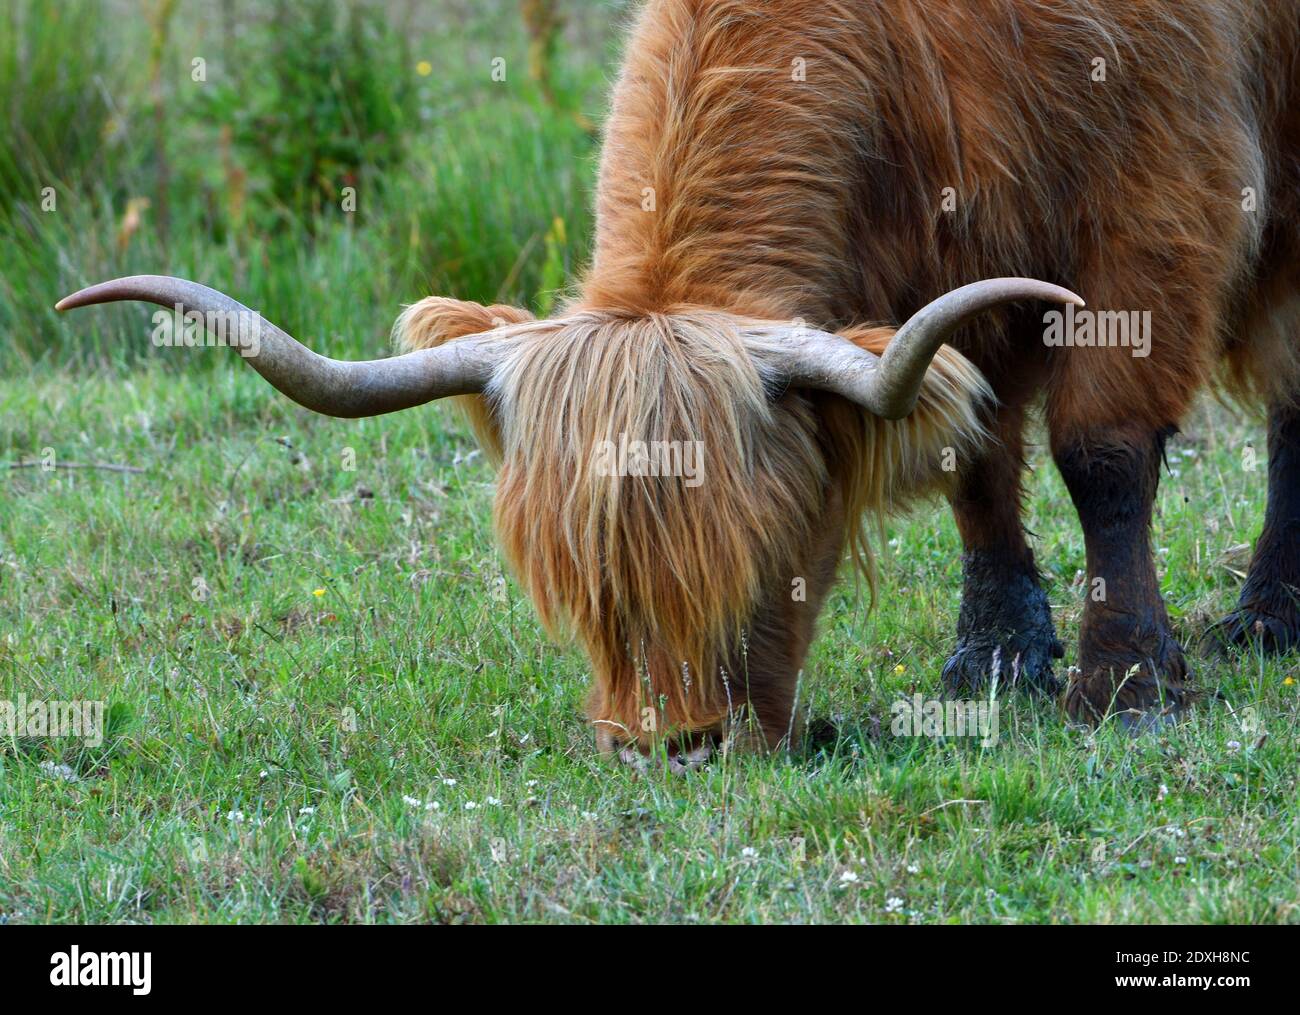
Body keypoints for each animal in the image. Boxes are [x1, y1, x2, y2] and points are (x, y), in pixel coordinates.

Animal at [58, 0, 1300, 763]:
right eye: (568, 579)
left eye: (760, 552)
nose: (668, 744)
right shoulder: (940, 281)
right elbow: (971, 454)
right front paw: (993, 656)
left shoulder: (1157, 199)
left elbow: (1101, 450)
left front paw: (1127, 685)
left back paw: (1266, 617)